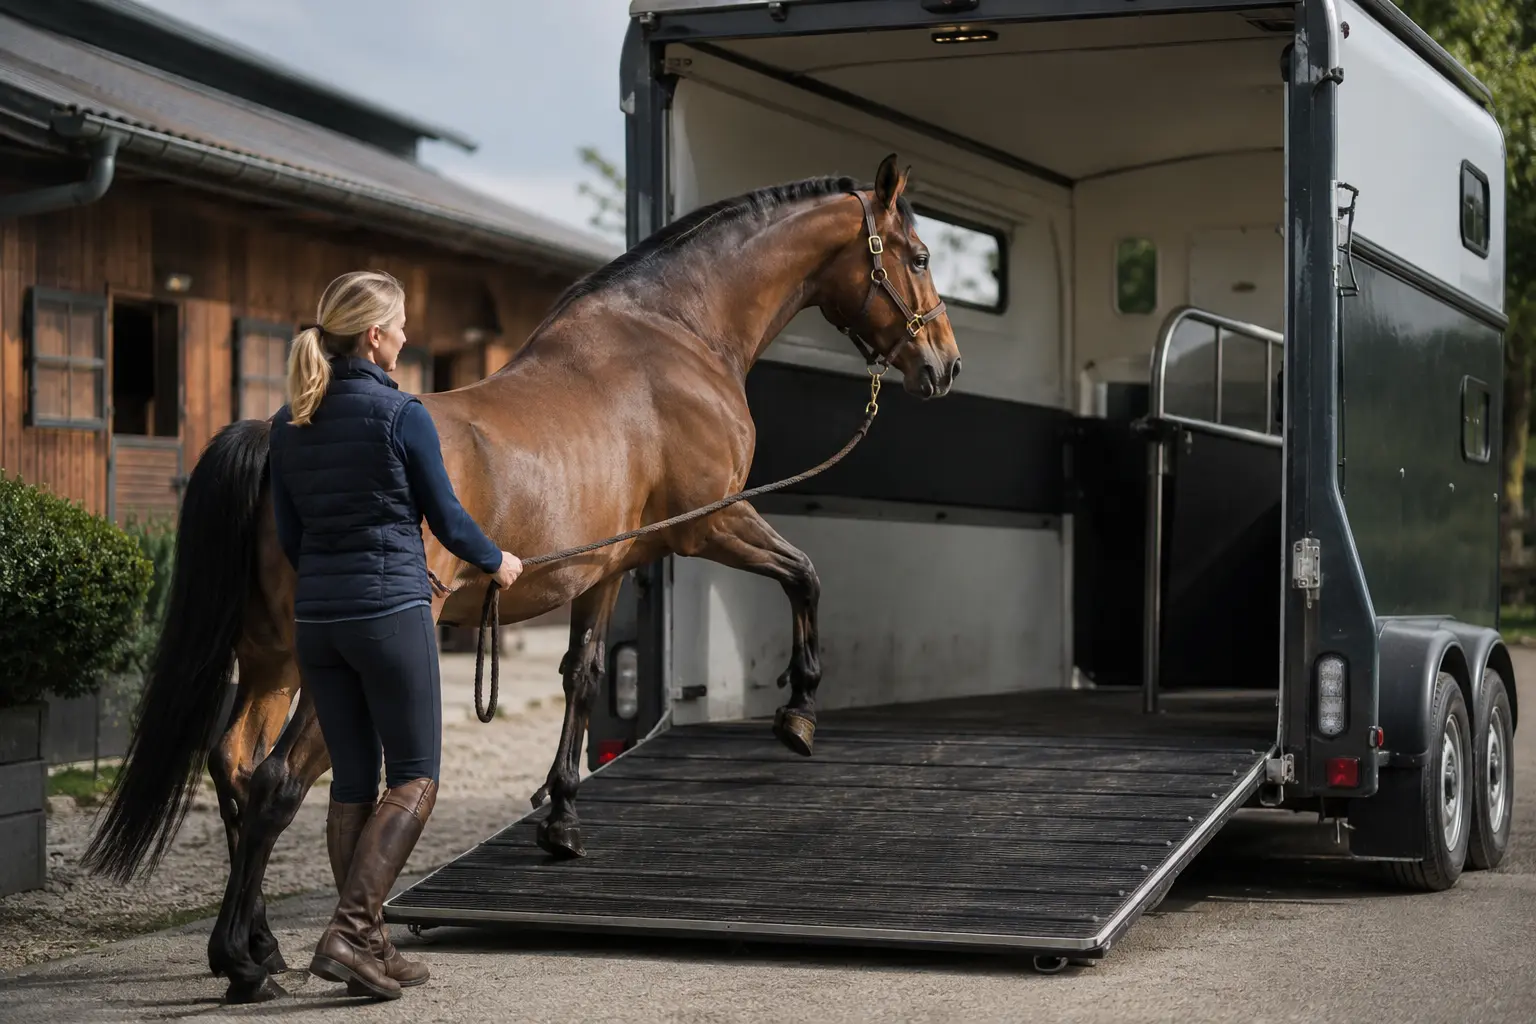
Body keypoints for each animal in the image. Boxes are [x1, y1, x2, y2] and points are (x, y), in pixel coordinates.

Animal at [80, 154, 961, 1003]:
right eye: (918, 256)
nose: (945, 365)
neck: (674, 334)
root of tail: (274, 434)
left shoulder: (607, 566)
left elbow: (585, 674)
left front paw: (561, 819)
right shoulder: (709, 523)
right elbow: (804, 577)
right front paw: (798, 713)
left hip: (273, 661)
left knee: (232, 767)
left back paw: (258, 948)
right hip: (331, 670)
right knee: (275, 783)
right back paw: (253, 961)